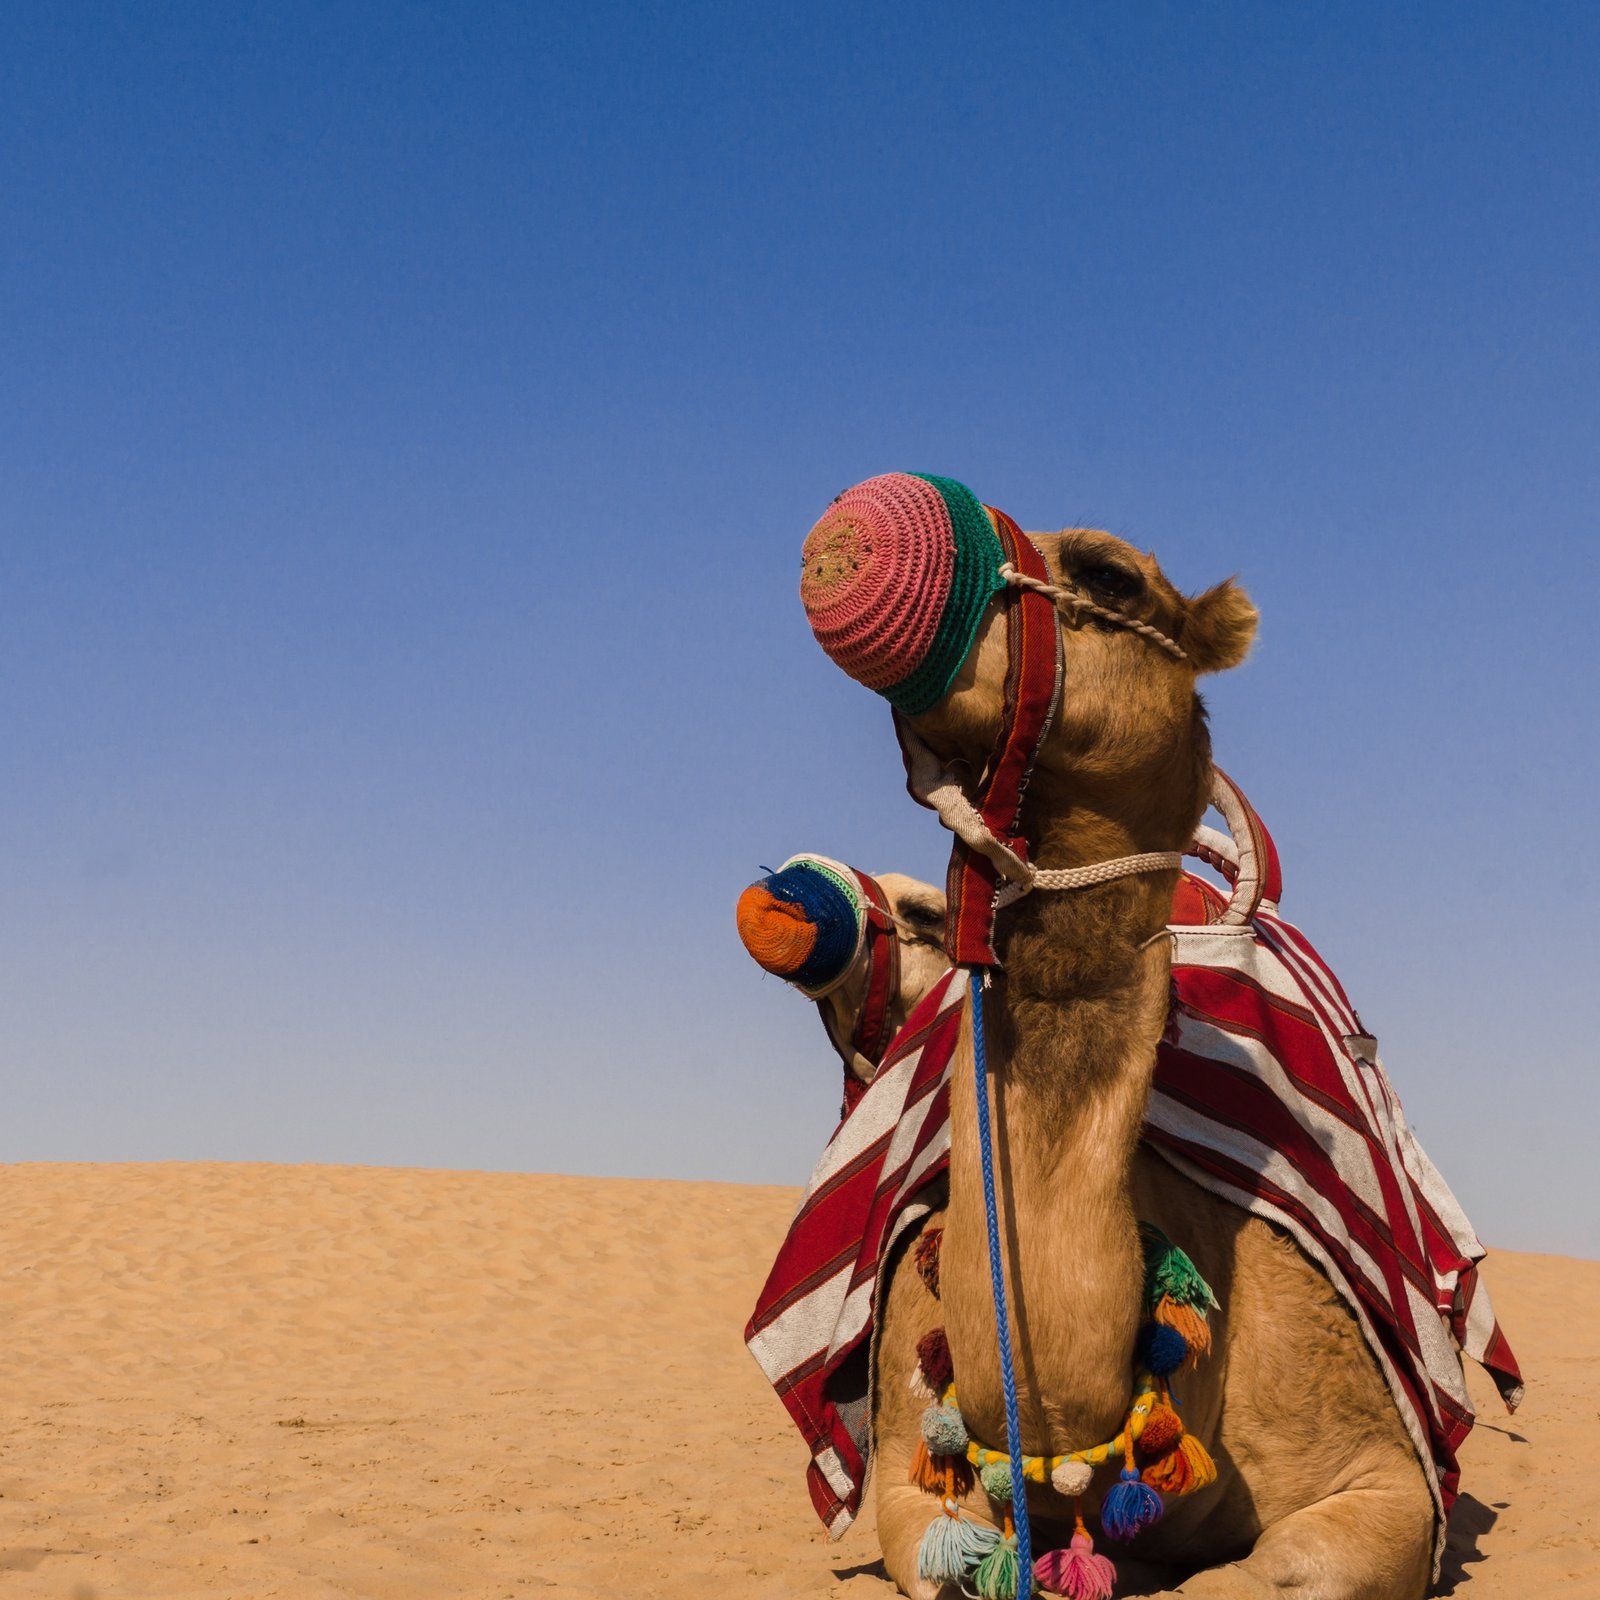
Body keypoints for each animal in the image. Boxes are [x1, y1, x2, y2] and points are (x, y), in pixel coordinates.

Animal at [803, 505, 1437, 1597]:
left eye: (1110, 575)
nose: (852, 546)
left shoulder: (1380, 1473)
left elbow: (1265, 1572)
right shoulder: (906, 1473)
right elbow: (939, 1553)